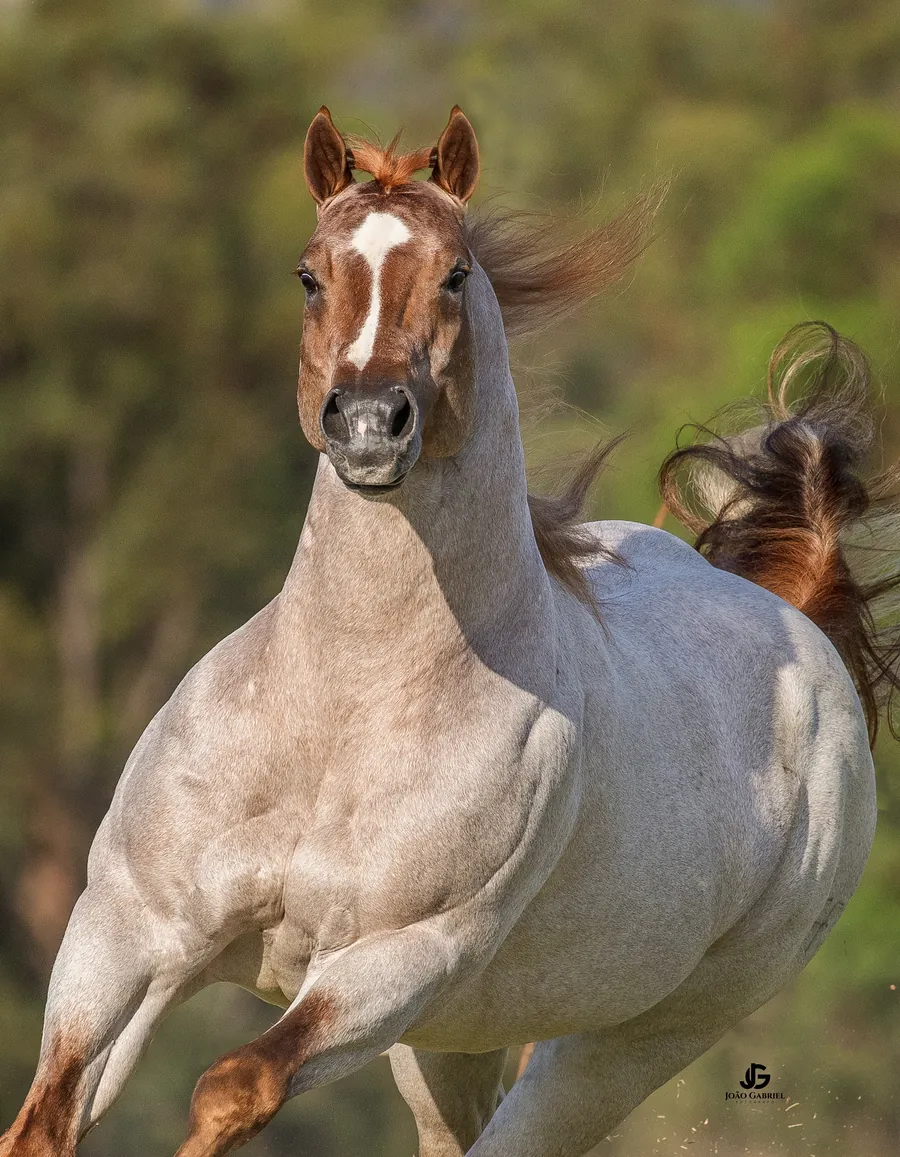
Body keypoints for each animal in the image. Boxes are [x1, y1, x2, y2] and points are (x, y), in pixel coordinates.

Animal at [2, 105, 899, 1157]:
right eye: (310, 273)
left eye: (456, 273)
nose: (367, 424)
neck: (341, 710)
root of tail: (803, 630)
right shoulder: (128, 931)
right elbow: (46, 1119)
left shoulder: (394, 963)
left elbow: (233, 1084)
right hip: (452, 1041)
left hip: (621, 1046)